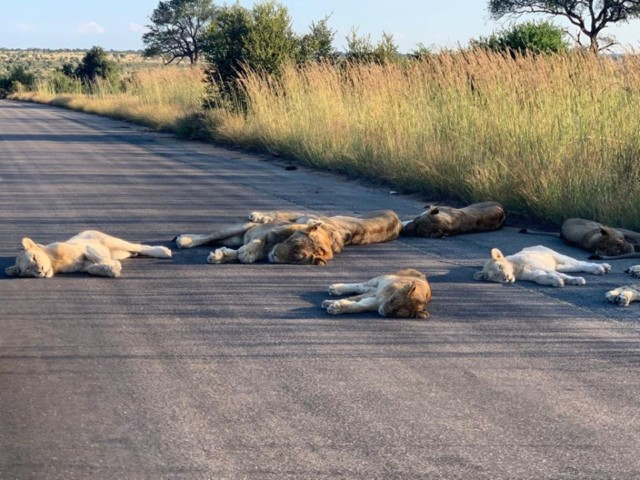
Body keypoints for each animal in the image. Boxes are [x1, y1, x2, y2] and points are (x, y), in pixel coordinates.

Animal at [3, 231, 172, 280]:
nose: (40, 271)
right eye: (28, 270)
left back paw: (164, 251)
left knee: (139, 246)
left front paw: (112, 266)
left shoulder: (85, 247)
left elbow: (95, 255)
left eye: (34, 258)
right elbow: (92, 268)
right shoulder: (83, 266)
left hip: (112, 242)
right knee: (133, 251)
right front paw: (111, 269)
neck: (55, 263)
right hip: (120, 252)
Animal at [472, 246, 612, 286]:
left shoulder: (540, 266)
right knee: (575, 267)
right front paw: (556, 282)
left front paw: (576, 280)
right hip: (560, 265)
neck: (515, 270)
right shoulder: (533, 274)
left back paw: (602, 267)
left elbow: (560, 275)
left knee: (580, 263)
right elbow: (541, 278)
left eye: (500, 267)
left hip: (558, 256)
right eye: (495, 276)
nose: (506, 277)